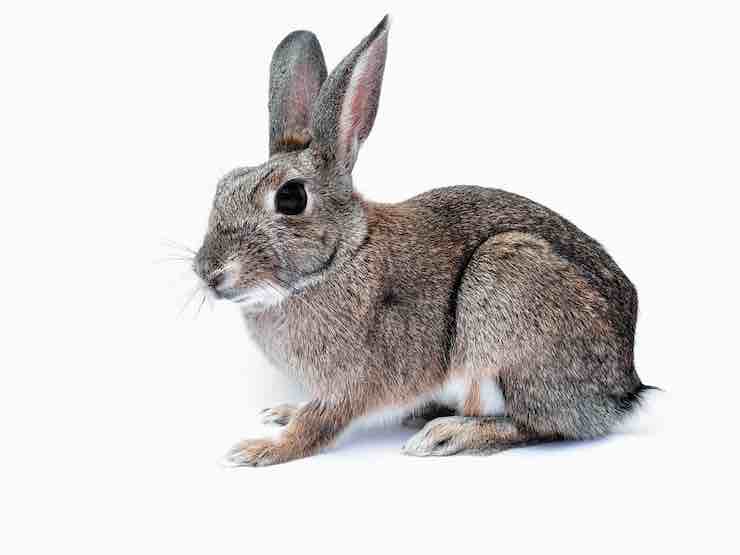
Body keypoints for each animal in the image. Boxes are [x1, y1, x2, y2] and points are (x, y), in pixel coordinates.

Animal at [193, 15, 655, 466]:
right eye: (224, 185)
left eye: (291, 198)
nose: (208, 272)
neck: (342, 257)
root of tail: (623, 391)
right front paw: (282, 412)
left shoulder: (352, 380)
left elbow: (319, 424)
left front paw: (259, 449)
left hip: (508, 293)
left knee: (538, 425)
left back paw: (447, 434)